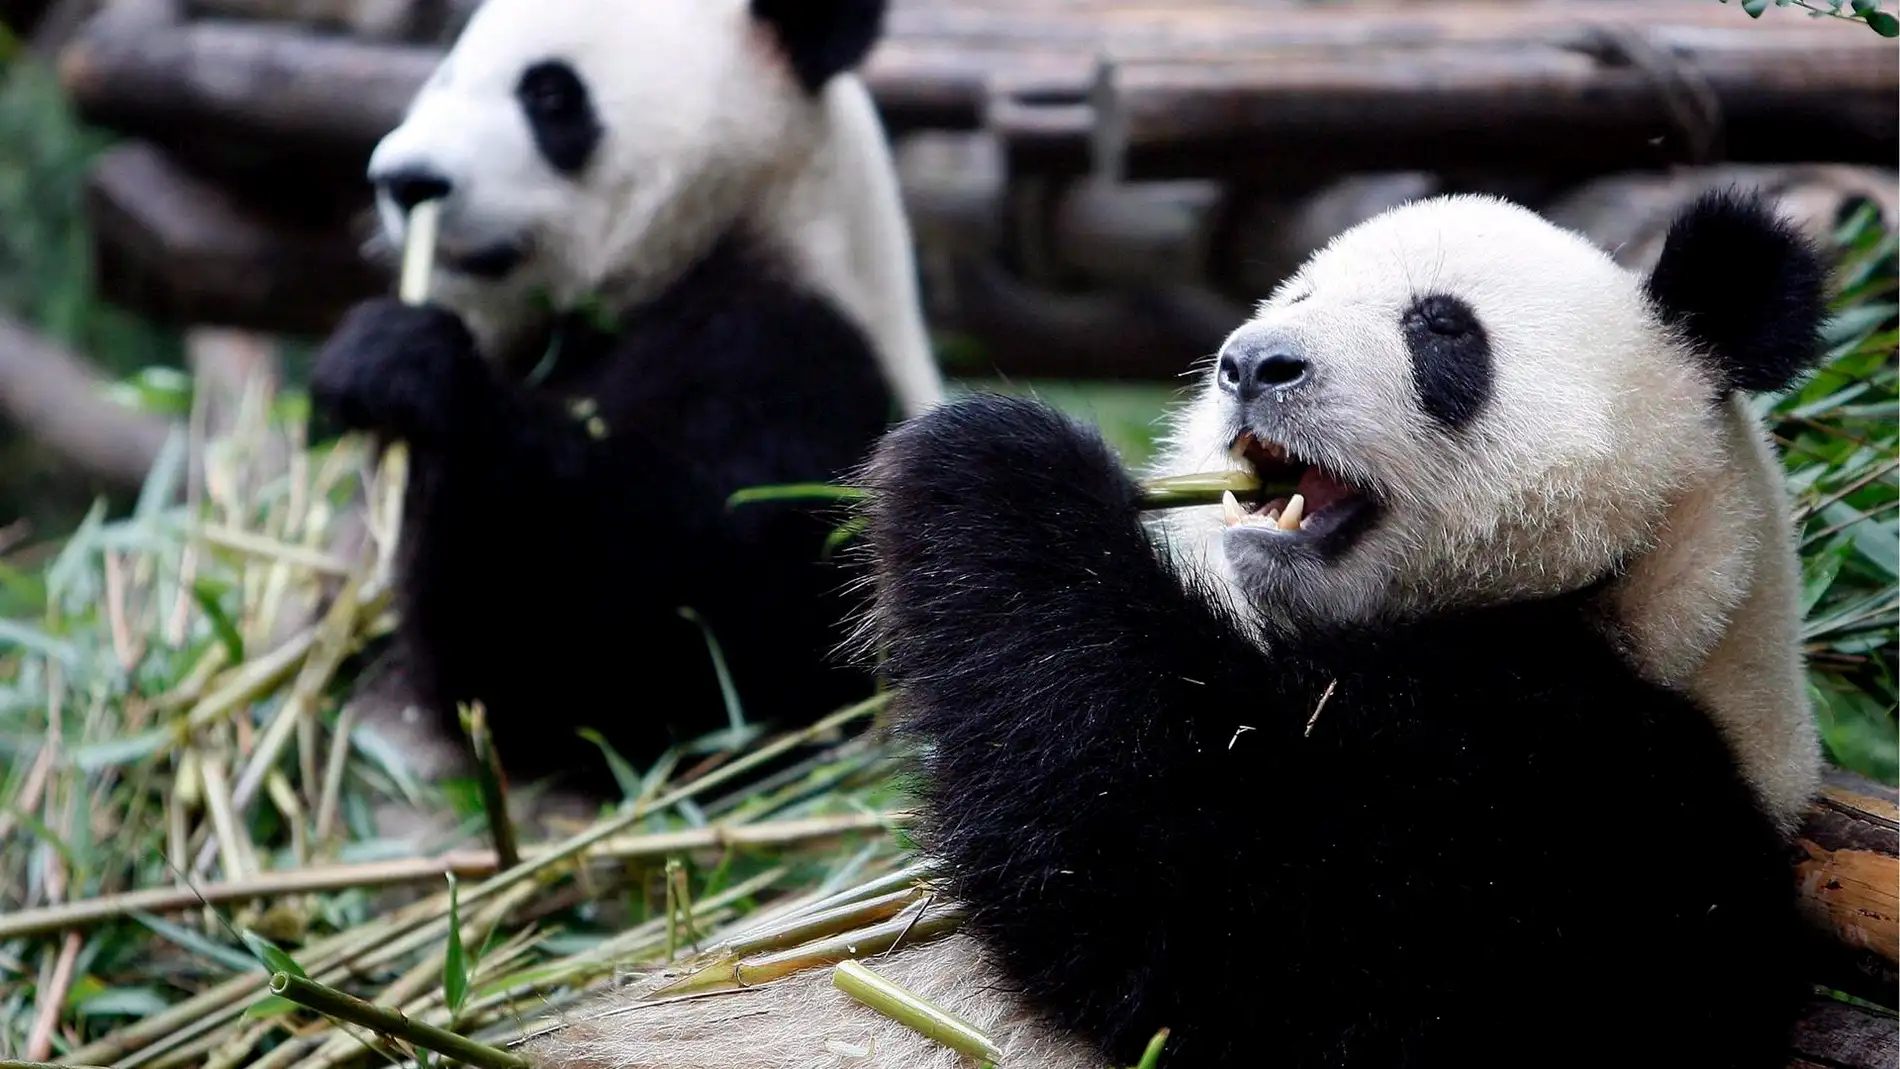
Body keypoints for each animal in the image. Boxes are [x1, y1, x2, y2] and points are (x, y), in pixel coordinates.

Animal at [309, 0, 940, 792]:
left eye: (551, 95)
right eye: (449, 71)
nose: (406, 180)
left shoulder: (801, 364)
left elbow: (651, 634)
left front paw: (408, 368)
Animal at [522, 188, 1831, 1069]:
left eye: (1442, 330)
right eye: (1292, 298)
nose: (1255, 363)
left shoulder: (1598, 798)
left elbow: (1221, 893)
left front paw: (987, 460)